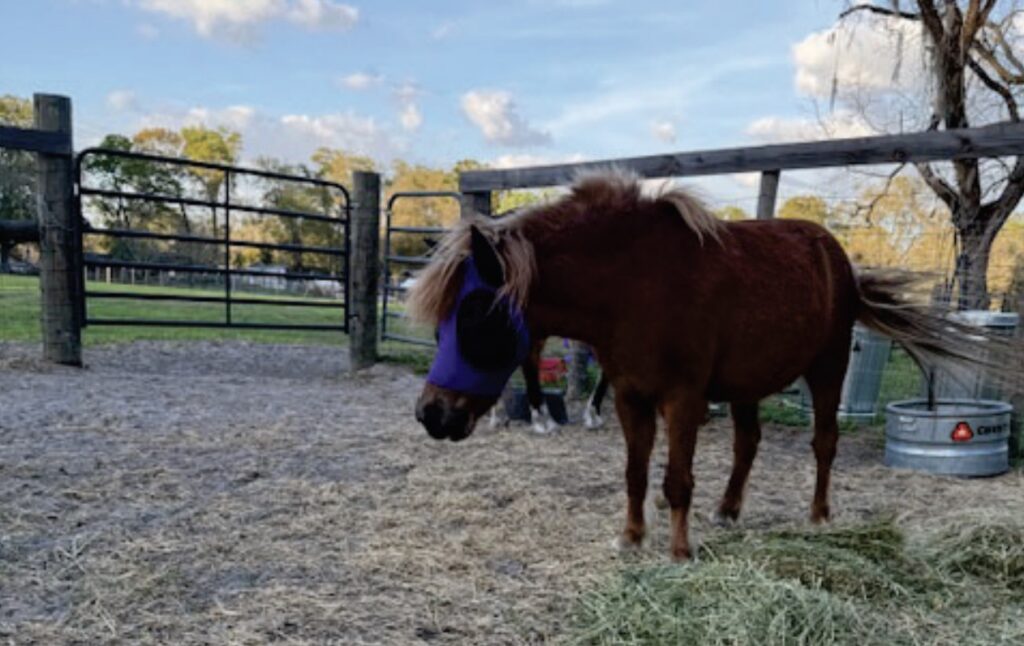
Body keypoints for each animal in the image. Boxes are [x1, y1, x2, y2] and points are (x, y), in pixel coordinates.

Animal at [407, 170, 1021, 561]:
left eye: (476, 317)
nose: (432, 414)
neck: (634, 283)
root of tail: (838, 259)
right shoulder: (630, 395)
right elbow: (635, 474)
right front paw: (632, 537)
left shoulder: (683, 398)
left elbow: (677, 479)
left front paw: (679, 550)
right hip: (749, 384)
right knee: (747, 443)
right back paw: (728, 509)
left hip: (826, 370)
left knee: (824, 444)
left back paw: (820, 514)